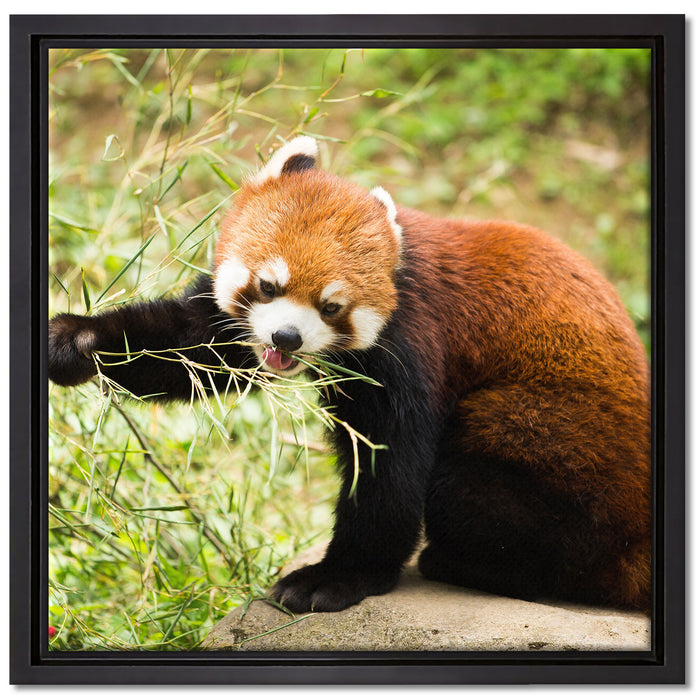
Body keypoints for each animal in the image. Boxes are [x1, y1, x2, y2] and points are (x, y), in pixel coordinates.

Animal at [49, 136, 651, 613]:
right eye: (268, 286)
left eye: (331, 306)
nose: (286, 338)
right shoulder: (232, 325)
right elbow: (192, 345)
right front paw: (77, 341)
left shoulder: (411, 345)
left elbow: (389, 468)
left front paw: (335, 579)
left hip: (546, 442)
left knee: (469, 489)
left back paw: (464, 564)